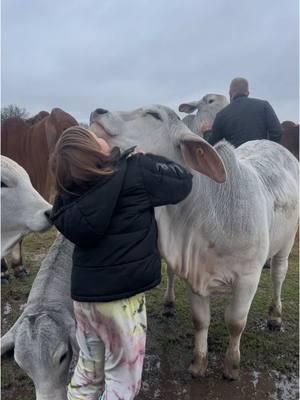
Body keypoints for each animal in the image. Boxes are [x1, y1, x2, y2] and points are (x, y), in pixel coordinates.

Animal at [90, 104, 298, 380]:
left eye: (154, 115)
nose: (98, 111)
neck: (209, 210)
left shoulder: (248, 278)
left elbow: (236, 322)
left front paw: (231, 366)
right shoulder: (195, 273)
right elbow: (201, 320)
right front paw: (199, 364)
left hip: (287, 242)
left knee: (278, 275)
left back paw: (275, 317)